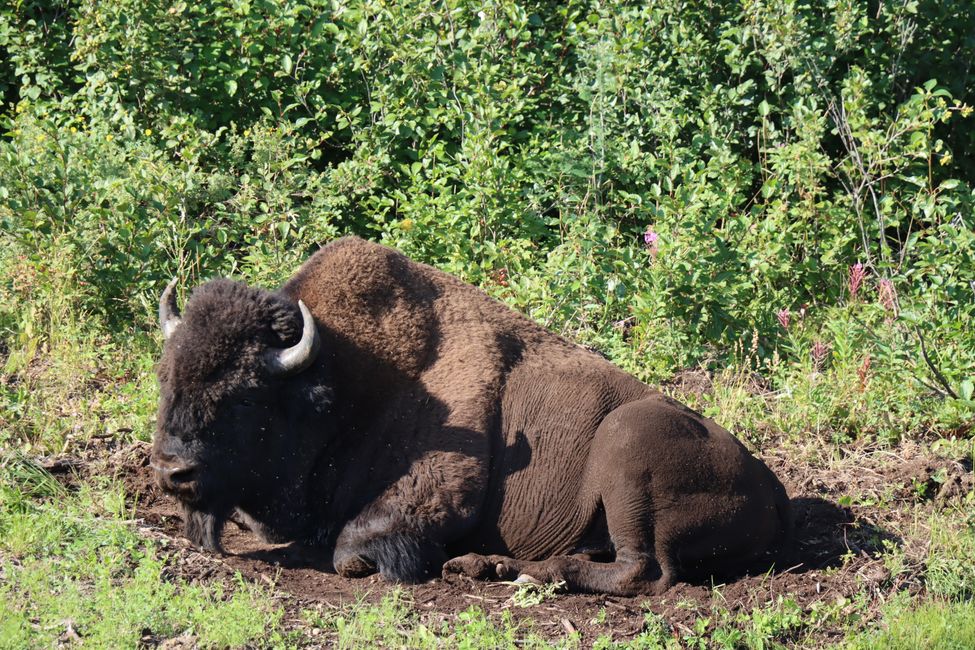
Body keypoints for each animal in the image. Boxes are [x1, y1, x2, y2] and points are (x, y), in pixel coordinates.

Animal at [152, 235, 792, 596]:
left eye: (244, 394)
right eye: (166, 376)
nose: (171, 471)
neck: (345, 376)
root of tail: (775, 490)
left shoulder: (434, 492)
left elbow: (353, 548)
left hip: (626, 446)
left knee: (645, 572)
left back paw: (526, 574)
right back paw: (488, 567)